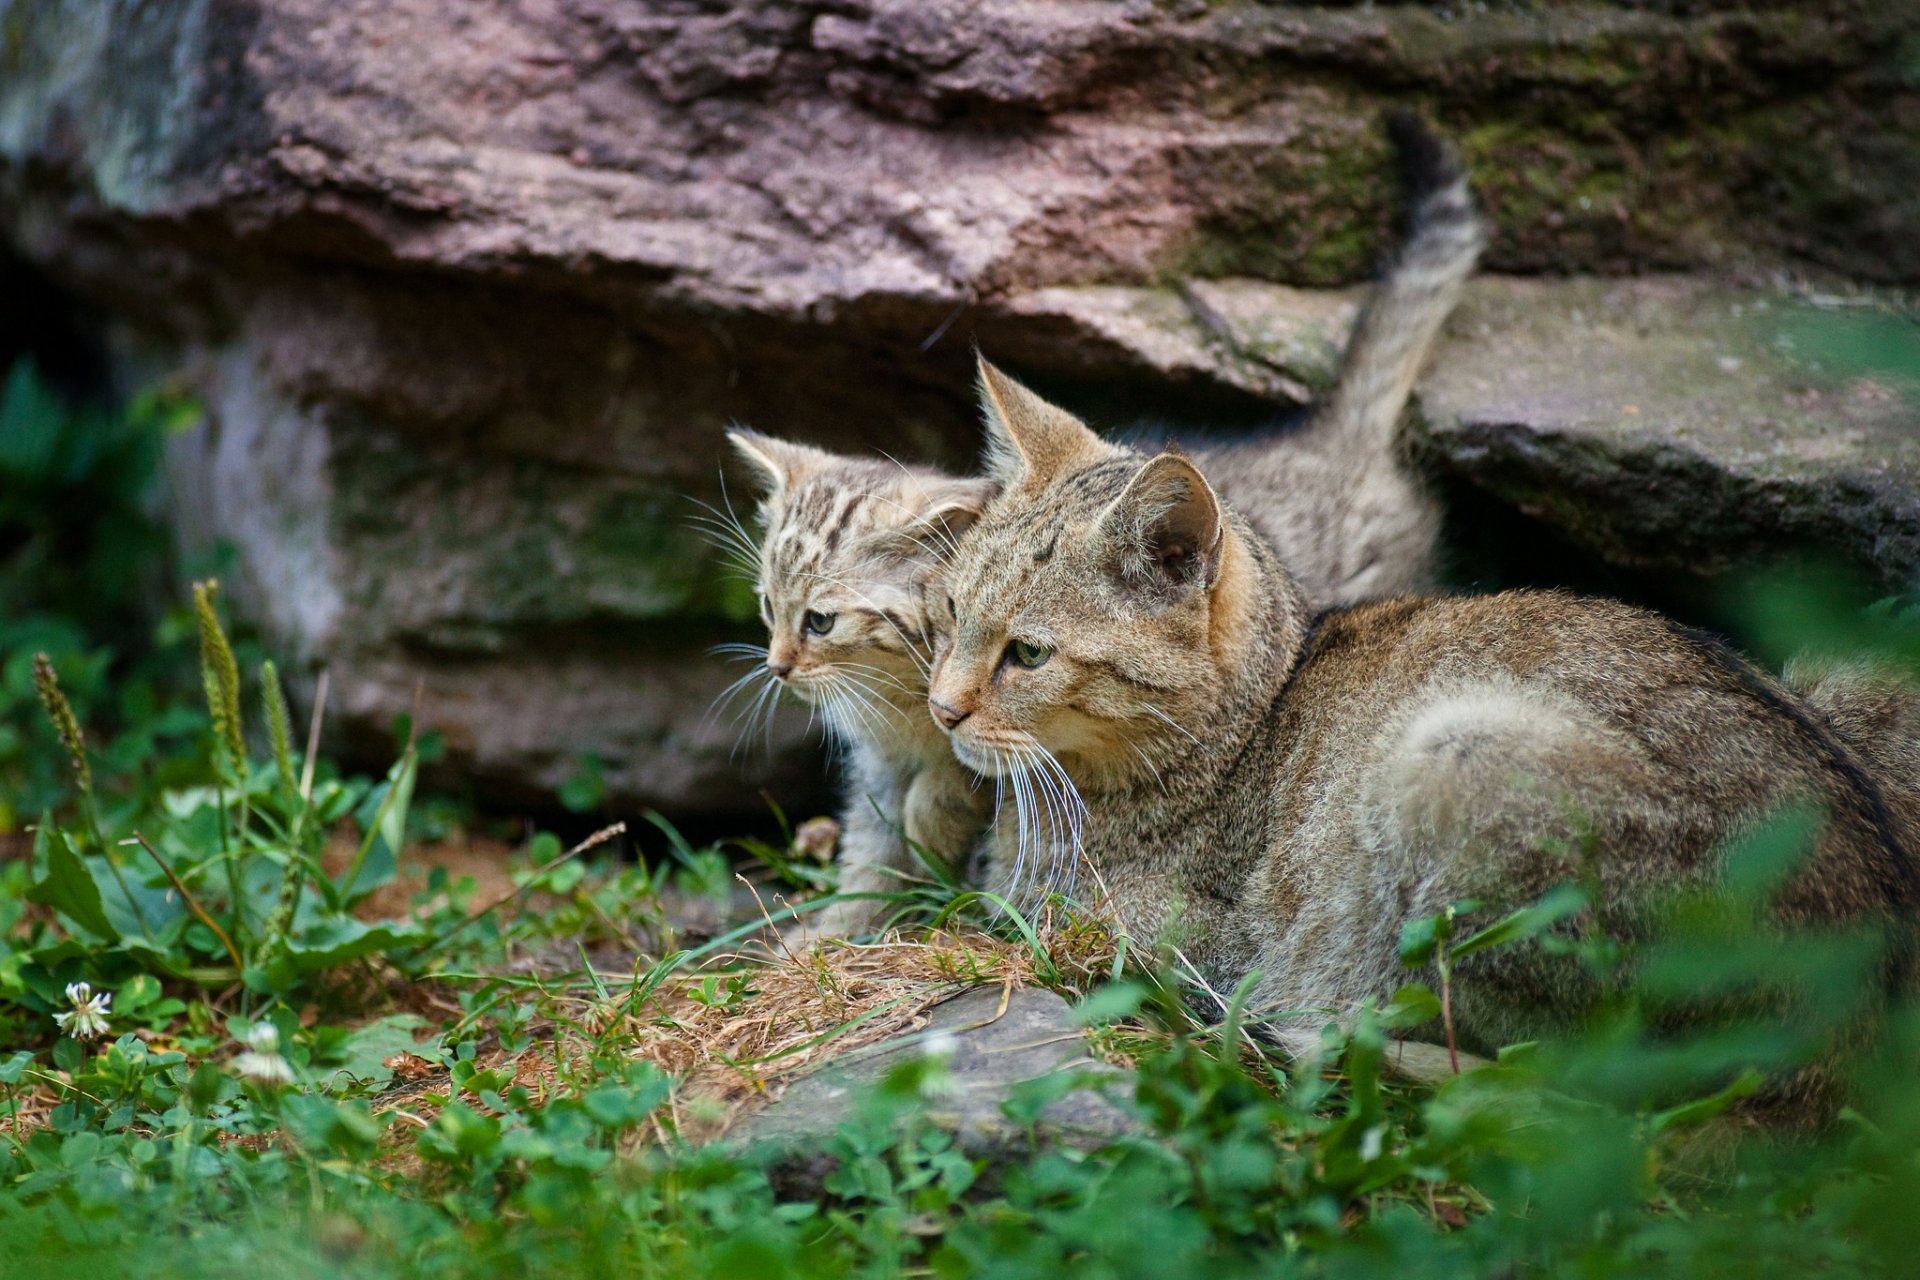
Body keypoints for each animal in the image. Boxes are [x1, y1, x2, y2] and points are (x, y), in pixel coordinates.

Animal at [721, 117, 1482, 940]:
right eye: (767, 609)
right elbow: (870, 853)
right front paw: (828, 934)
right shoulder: (879, 773)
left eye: (821, 621)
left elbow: (954, 798)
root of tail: (1330, 431)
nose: (778, 666)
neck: (897, 712)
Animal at [925, 360, 1904, 1113]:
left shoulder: (1163, 938)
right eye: (950, 614)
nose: (941, 709)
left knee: (1564, 1076)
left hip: (1453, 758)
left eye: (1028, 653)